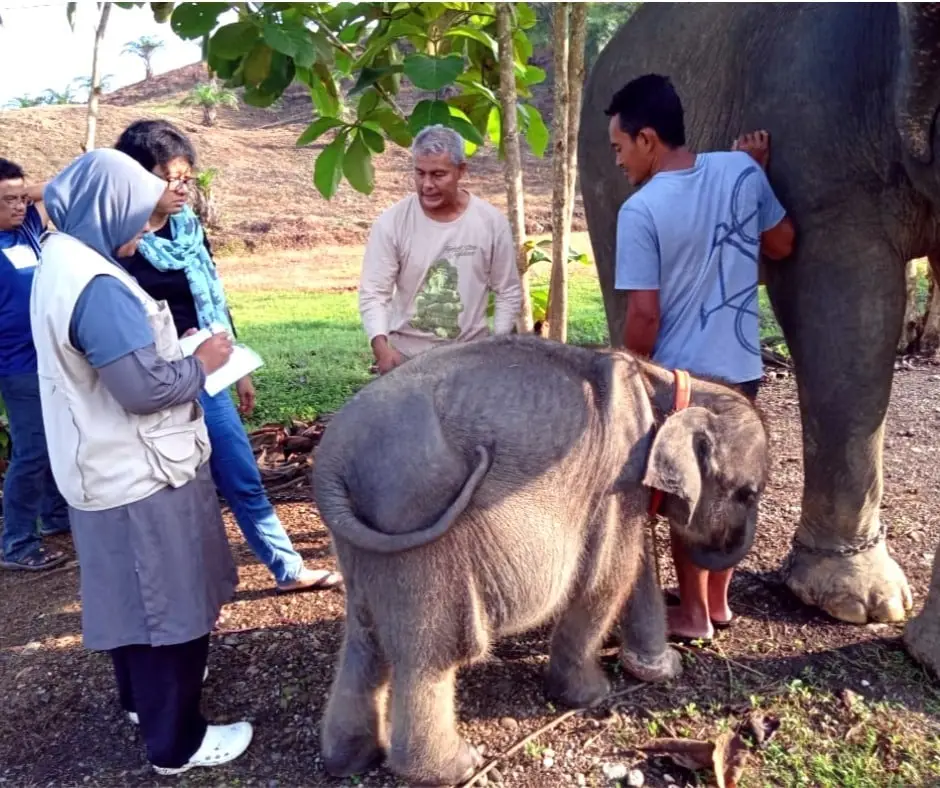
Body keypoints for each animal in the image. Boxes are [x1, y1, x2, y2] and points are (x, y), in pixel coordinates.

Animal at [312, 334, 768, 788]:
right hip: (415, 525)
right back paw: (458, 766)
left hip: (366, 543)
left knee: (364, 642)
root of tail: (330, 462)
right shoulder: (618, 473)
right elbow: (607, 578)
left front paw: (659, 669)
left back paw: (349, 760)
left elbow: (634, 568)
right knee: (433, 652)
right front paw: (591, 695)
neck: (663, 381)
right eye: (749, 493)